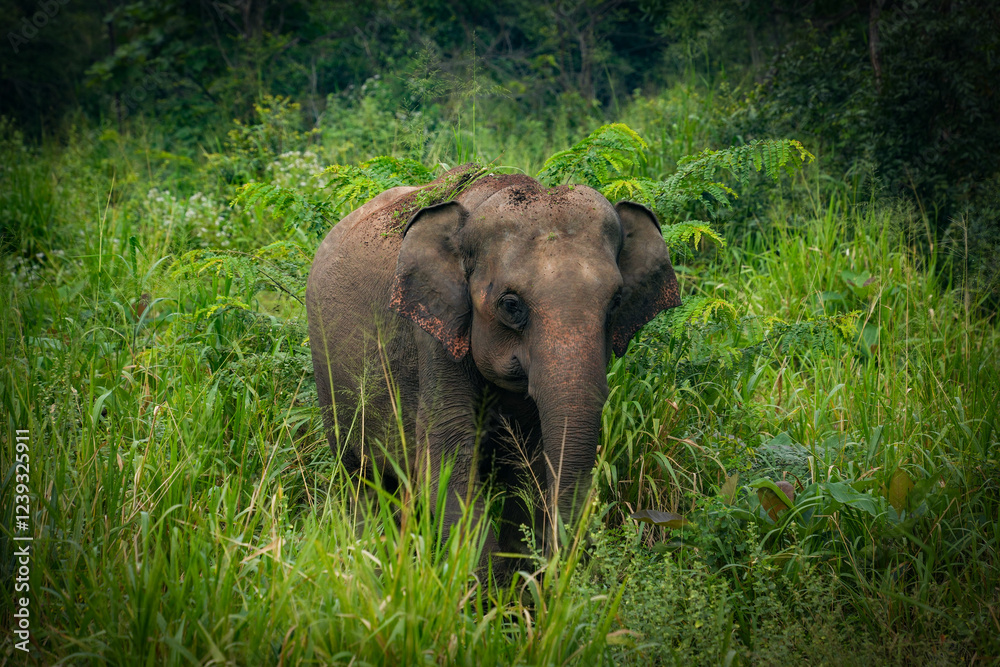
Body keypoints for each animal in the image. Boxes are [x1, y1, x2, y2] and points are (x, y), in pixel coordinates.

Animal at [306, 164, 681, 572]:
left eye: (615, 302)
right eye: (511, 305)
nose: (556, 568)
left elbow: (527, 468)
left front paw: (522, 577)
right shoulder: (436, 335)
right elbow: (447, 460)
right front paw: (490, 585)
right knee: (362, 479)